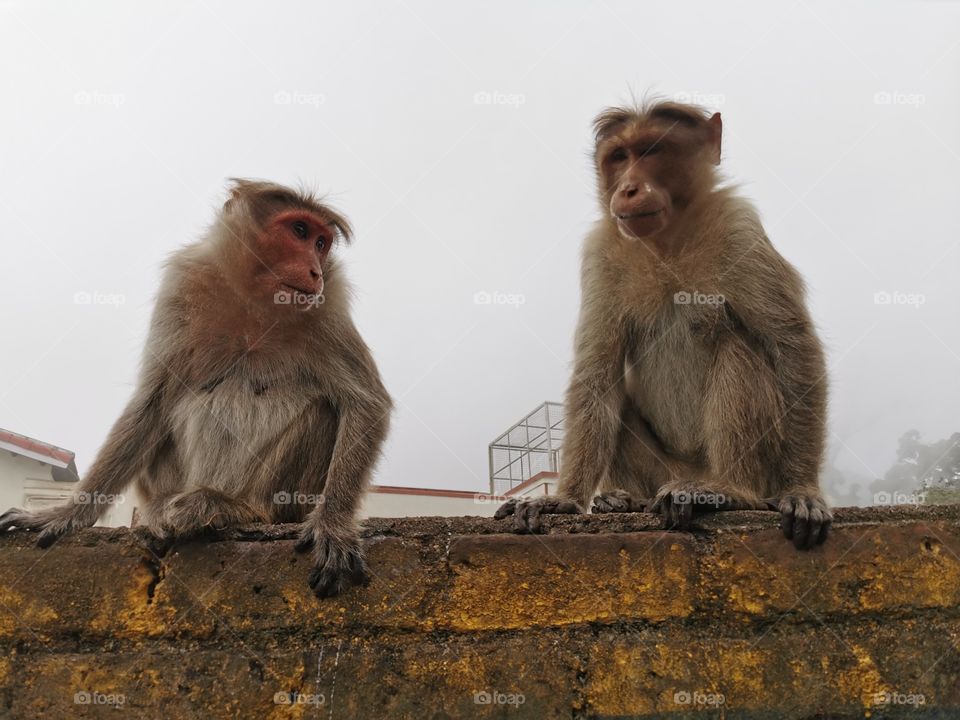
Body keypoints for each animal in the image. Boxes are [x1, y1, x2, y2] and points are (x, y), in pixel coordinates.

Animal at [0, 179, 392, 596]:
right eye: (300, 231)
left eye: (322, 242)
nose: (316, 270)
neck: (252, 300)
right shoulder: (183, 283)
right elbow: (152, 403)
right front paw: (65, 513)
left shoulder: (329, 303)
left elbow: (366, 403)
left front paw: (333, 526)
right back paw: (169, 509)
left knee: (321, 413)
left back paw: (235, 508)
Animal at [497, 100, 831, 549]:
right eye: (619, 157)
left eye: (652, 151)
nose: (628, 189)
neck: (666, 239)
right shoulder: (601, 253)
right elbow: (596, 373)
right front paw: (563, 500)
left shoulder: (740, 226)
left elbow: (792, 345)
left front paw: (801, 489)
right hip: (661, 471)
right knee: (617, 395)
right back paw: (625, 500)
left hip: (745, 468)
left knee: (739, 349)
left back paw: (726, 491)